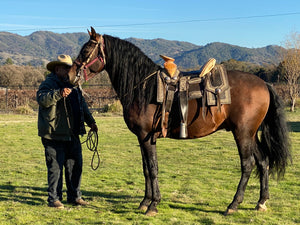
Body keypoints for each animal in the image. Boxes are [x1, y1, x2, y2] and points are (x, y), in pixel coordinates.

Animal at [68, 27, 290, 215]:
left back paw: (233, 205)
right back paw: (261, 202)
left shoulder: (146, 137)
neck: (144, 87)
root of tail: (264, 83)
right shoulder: (143, 138)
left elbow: (153, 168)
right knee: (263, 161)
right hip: (250, 134)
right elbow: (146, 169)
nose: (70, 75)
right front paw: (144, 202)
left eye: (86, 50)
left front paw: (153, 204)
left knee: (248, 164)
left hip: (242, 133)